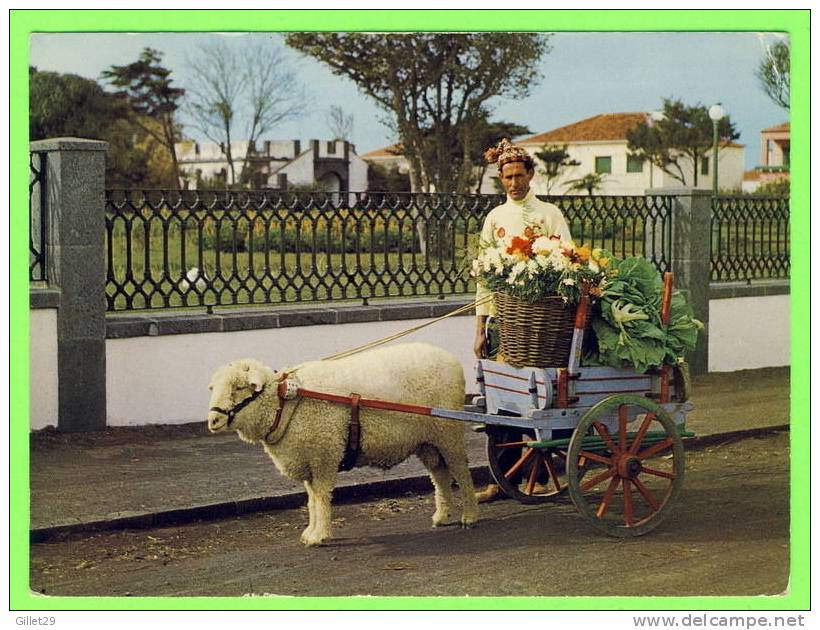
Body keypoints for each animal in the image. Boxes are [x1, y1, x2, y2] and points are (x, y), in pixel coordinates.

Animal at [207, 344, 480, 544]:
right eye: (213, 388)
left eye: (239, 387)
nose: (213, 420)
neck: (284, 402)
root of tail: (449, 357)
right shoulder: (309, 460)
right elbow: (311, 499)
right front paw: (311, 532)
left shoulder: (323, 455)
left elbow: (321, 497)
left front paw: (319, 536)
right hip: (427, 440)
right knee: (440, 475)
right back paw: (442, 516)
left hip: (448, 432)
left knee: (461, 471)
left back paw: (470, 516)